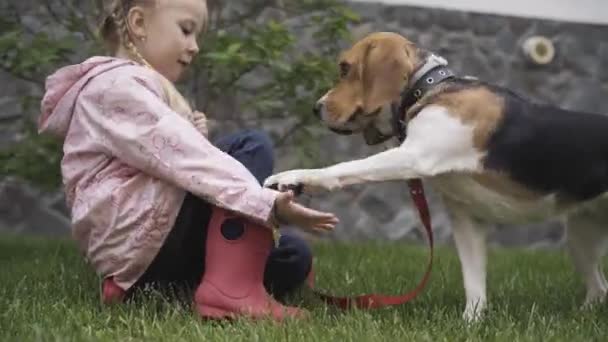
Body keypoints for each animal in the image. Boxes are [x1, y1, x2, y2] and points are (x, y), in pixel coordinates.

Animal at [268, 31, 608, 320]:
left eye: (345, 68)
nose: (316, 108)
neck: (429, 88)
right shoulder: (466, 218)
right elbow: (474, 283)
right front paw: (471, 323)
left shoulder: (414, 156)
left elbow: (345, 169)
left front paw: (297, 177)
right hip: (581, 237)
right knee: (599, 289)